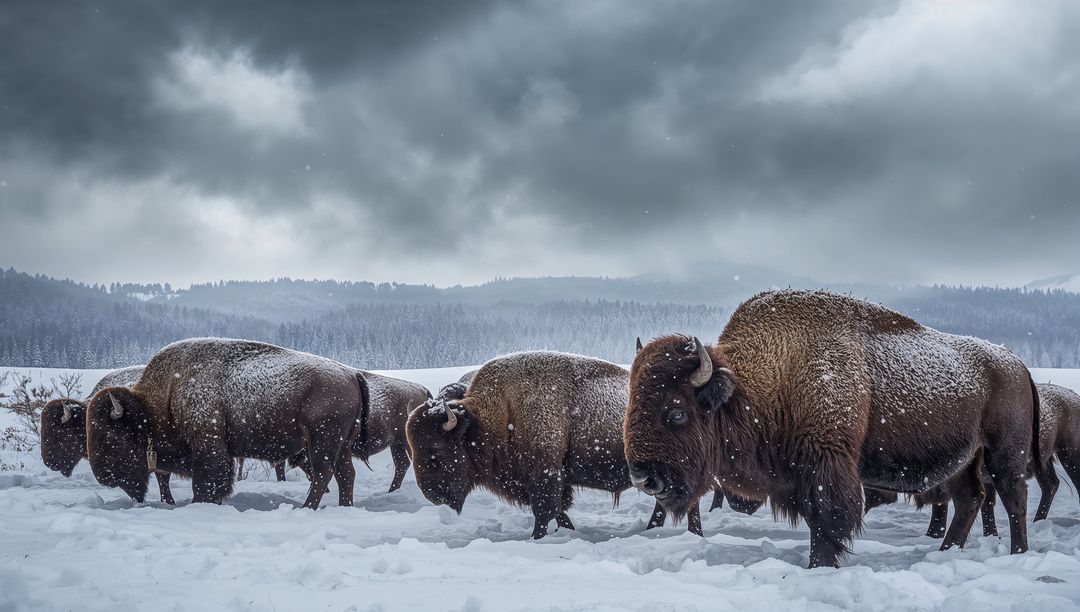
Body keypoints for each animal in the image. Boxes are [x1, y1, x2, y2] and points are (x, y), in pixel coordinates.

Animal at [85, 338, 366, 509]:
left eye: (110, 436)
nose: (103, 477)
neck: (165, 397)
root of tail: (351, 374)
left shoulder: (207, 444)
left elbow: (207, 480)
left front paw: (202, 502)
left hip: (323, 440)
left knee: (323, 473)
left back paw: (307, 508)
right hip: (342, 443)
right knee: (345, 474)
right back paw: (344, 506)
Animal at [407, 351, 702, 539]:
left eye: (436, 451)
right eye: (413, 448)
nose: (431, 495)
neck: (500, 411)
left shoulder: (545, 473)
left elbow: (545, 511)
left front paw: (538, 539)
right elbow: (558, 510)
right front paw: (568, 532)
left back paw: (690, 533)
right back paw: (655, 530)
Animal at [625, 290, 1043, 567]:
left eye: (676, 413)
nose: (644, 478)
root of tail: (1017, 365)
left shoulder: (827, 465)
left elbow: (828, 520)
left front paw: (820, 564)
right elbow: (816, 519)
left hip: (1004, 453)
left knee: (1013, 498)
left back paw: (1017, 553)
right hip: (961, 459)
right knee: (969, 498)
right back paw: (946, 552)